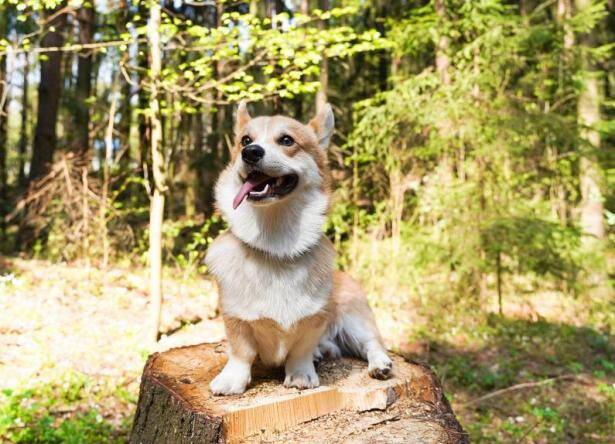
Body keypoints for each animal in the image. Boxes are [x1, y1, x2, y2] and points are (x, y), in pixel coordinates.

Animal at [205, 101, 392, 396]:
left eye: (286, 140)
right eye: (245, 140)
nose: (251, 153)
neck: (276, 246)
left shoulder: (315, 319)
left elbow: (300, 350)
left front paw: (301, 375)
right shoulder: (235, 317)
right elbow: (241, 352)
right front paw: (232, 380)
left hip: (355, 318)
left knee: (372, 343)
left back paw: (379, 364)